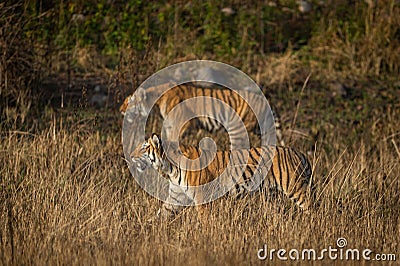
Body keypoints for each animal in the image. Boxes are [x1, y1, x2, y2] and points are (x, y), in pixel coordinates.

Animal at [120, 82, 286, 147]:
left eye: (128, 102)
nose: (120, 109)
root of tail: (266, 100)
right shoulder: (169, 127)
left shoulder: (182, 125)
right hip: (262, 127)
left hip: (239, 129)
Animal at [130, 134, 312, 219]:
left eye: (143, 148)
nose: (130, 156)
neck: (169, 169)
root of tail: (300, 153)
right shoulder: (176, 197)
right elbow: (162, 213)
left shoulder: (201, 198)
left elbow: (204, 221)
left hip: (296, 188)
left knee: (311, 208)